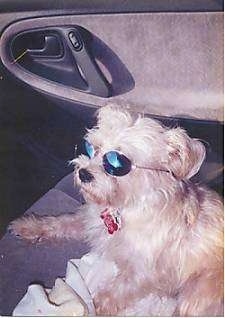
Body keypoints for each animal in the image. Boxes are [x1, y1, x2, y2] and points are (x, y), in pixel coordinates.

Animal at [9, 104, 223, 316]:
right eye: (92, 147)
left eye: (117, 163)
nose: (83, 173)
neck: (126, 207)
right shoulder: (90, 220)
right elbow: (62, 222)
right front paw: (30, 226)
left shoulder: (144, 272)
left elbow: (115, 293)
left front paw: (91, 307)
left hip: (195, 295)